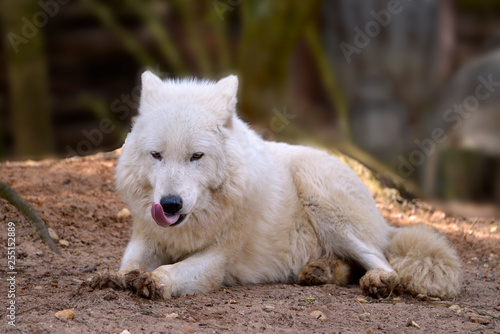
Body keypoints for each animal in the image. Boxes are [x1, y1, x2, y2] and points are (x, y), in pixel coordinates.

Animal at [93, 71, 460, 300]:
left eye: (196, 156)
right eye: (156, 155)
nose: (170, 204)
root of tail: (385, 224)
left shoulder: (217, 259)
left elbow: (173, 270)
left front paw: (154, 280)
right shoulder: (146, 237)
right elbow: (129, 263)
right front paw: (114, 276)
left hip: (319, 193)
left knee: (380, 259)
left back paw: (378, 281)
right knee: (353, 264)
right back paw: (322, 271)